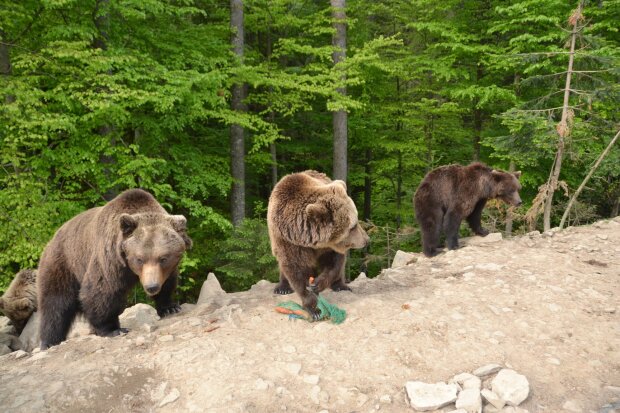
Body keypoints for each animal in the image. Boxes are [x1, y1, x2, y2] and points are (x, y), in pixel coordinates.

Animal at [37, 189, 191, 348]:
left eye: (163, 258)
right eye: (139, 259)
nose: (151, 287)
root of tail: (52, 239)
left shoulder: (165, 270)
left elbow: (168, 283)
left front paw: (170, 307)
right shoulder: (110, 259)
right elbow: (102, 291)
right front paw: (113, 329)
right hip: (64, 263)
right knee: (56, 303)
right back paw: (50, 341)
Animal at [266, 169, 368, 318]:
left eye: (356, 221)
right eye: (353, 226)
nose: (367, 240)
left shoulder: (329, 246)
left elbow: (334, 263)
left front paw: (317, 284)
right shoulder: (287, 241)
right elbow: (295, 269)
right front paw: (313, 308)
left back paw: (341, 285)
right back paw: (282, 287)